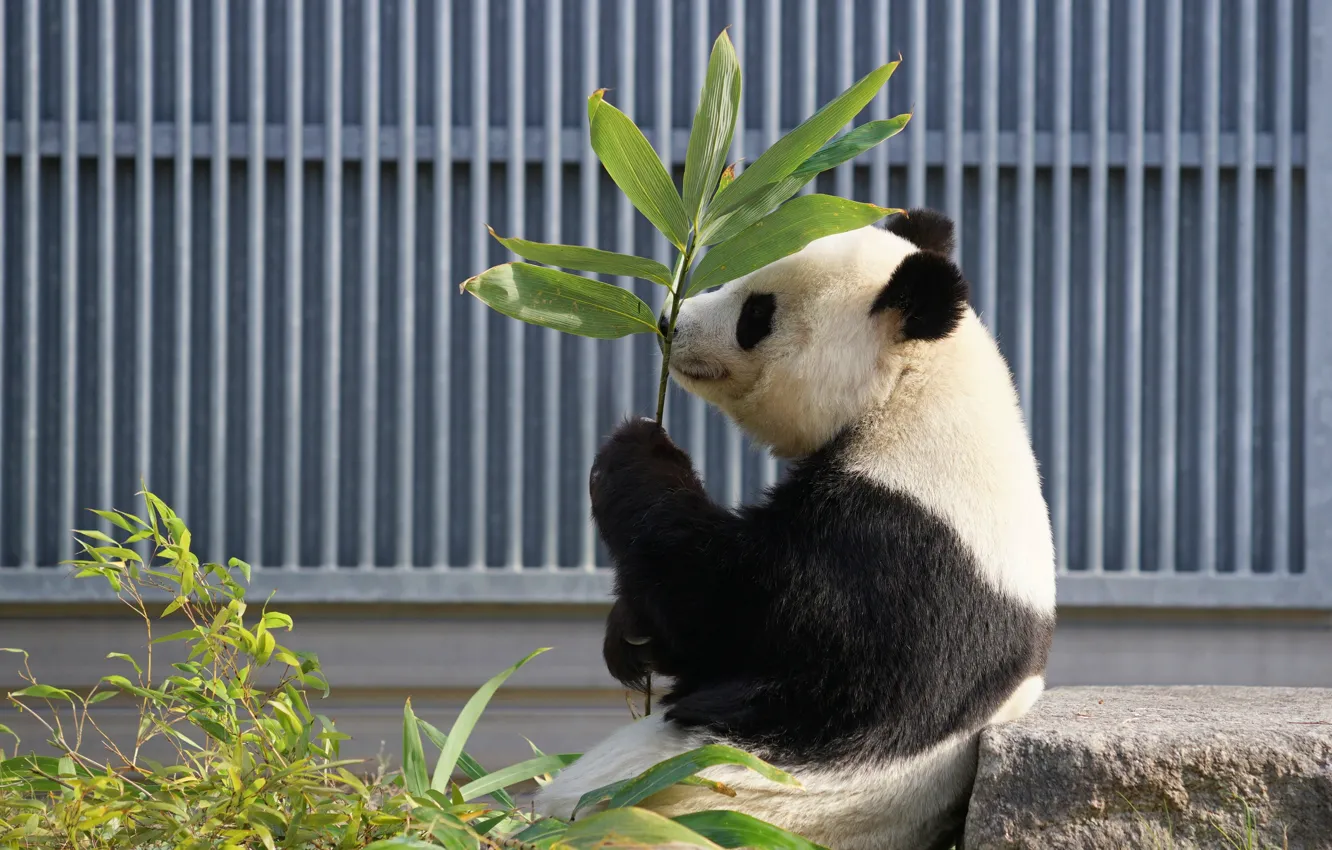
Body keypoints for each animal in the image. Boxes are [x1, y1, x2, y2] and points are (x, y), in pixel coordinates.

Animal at [532, 209, 1057, 850]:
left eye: (756, 313)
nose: (667, 322)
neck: (911, 387)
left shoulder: (901, 548)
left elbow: (730, 608)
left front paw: (635, 450)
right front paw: (627, 638)